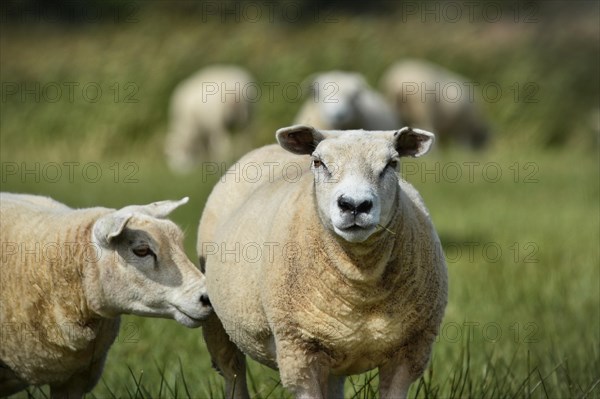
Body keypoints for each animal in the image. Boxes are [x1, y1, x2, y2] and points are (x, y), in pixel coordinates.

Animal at [199, 123, 448, 398]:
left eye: (392, 163)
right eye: (318, 162)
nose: (354, 205)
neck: (361, 286)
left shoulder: (411, 350)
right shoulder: (298, 350)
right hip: (218, 323)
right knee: (232, 371)